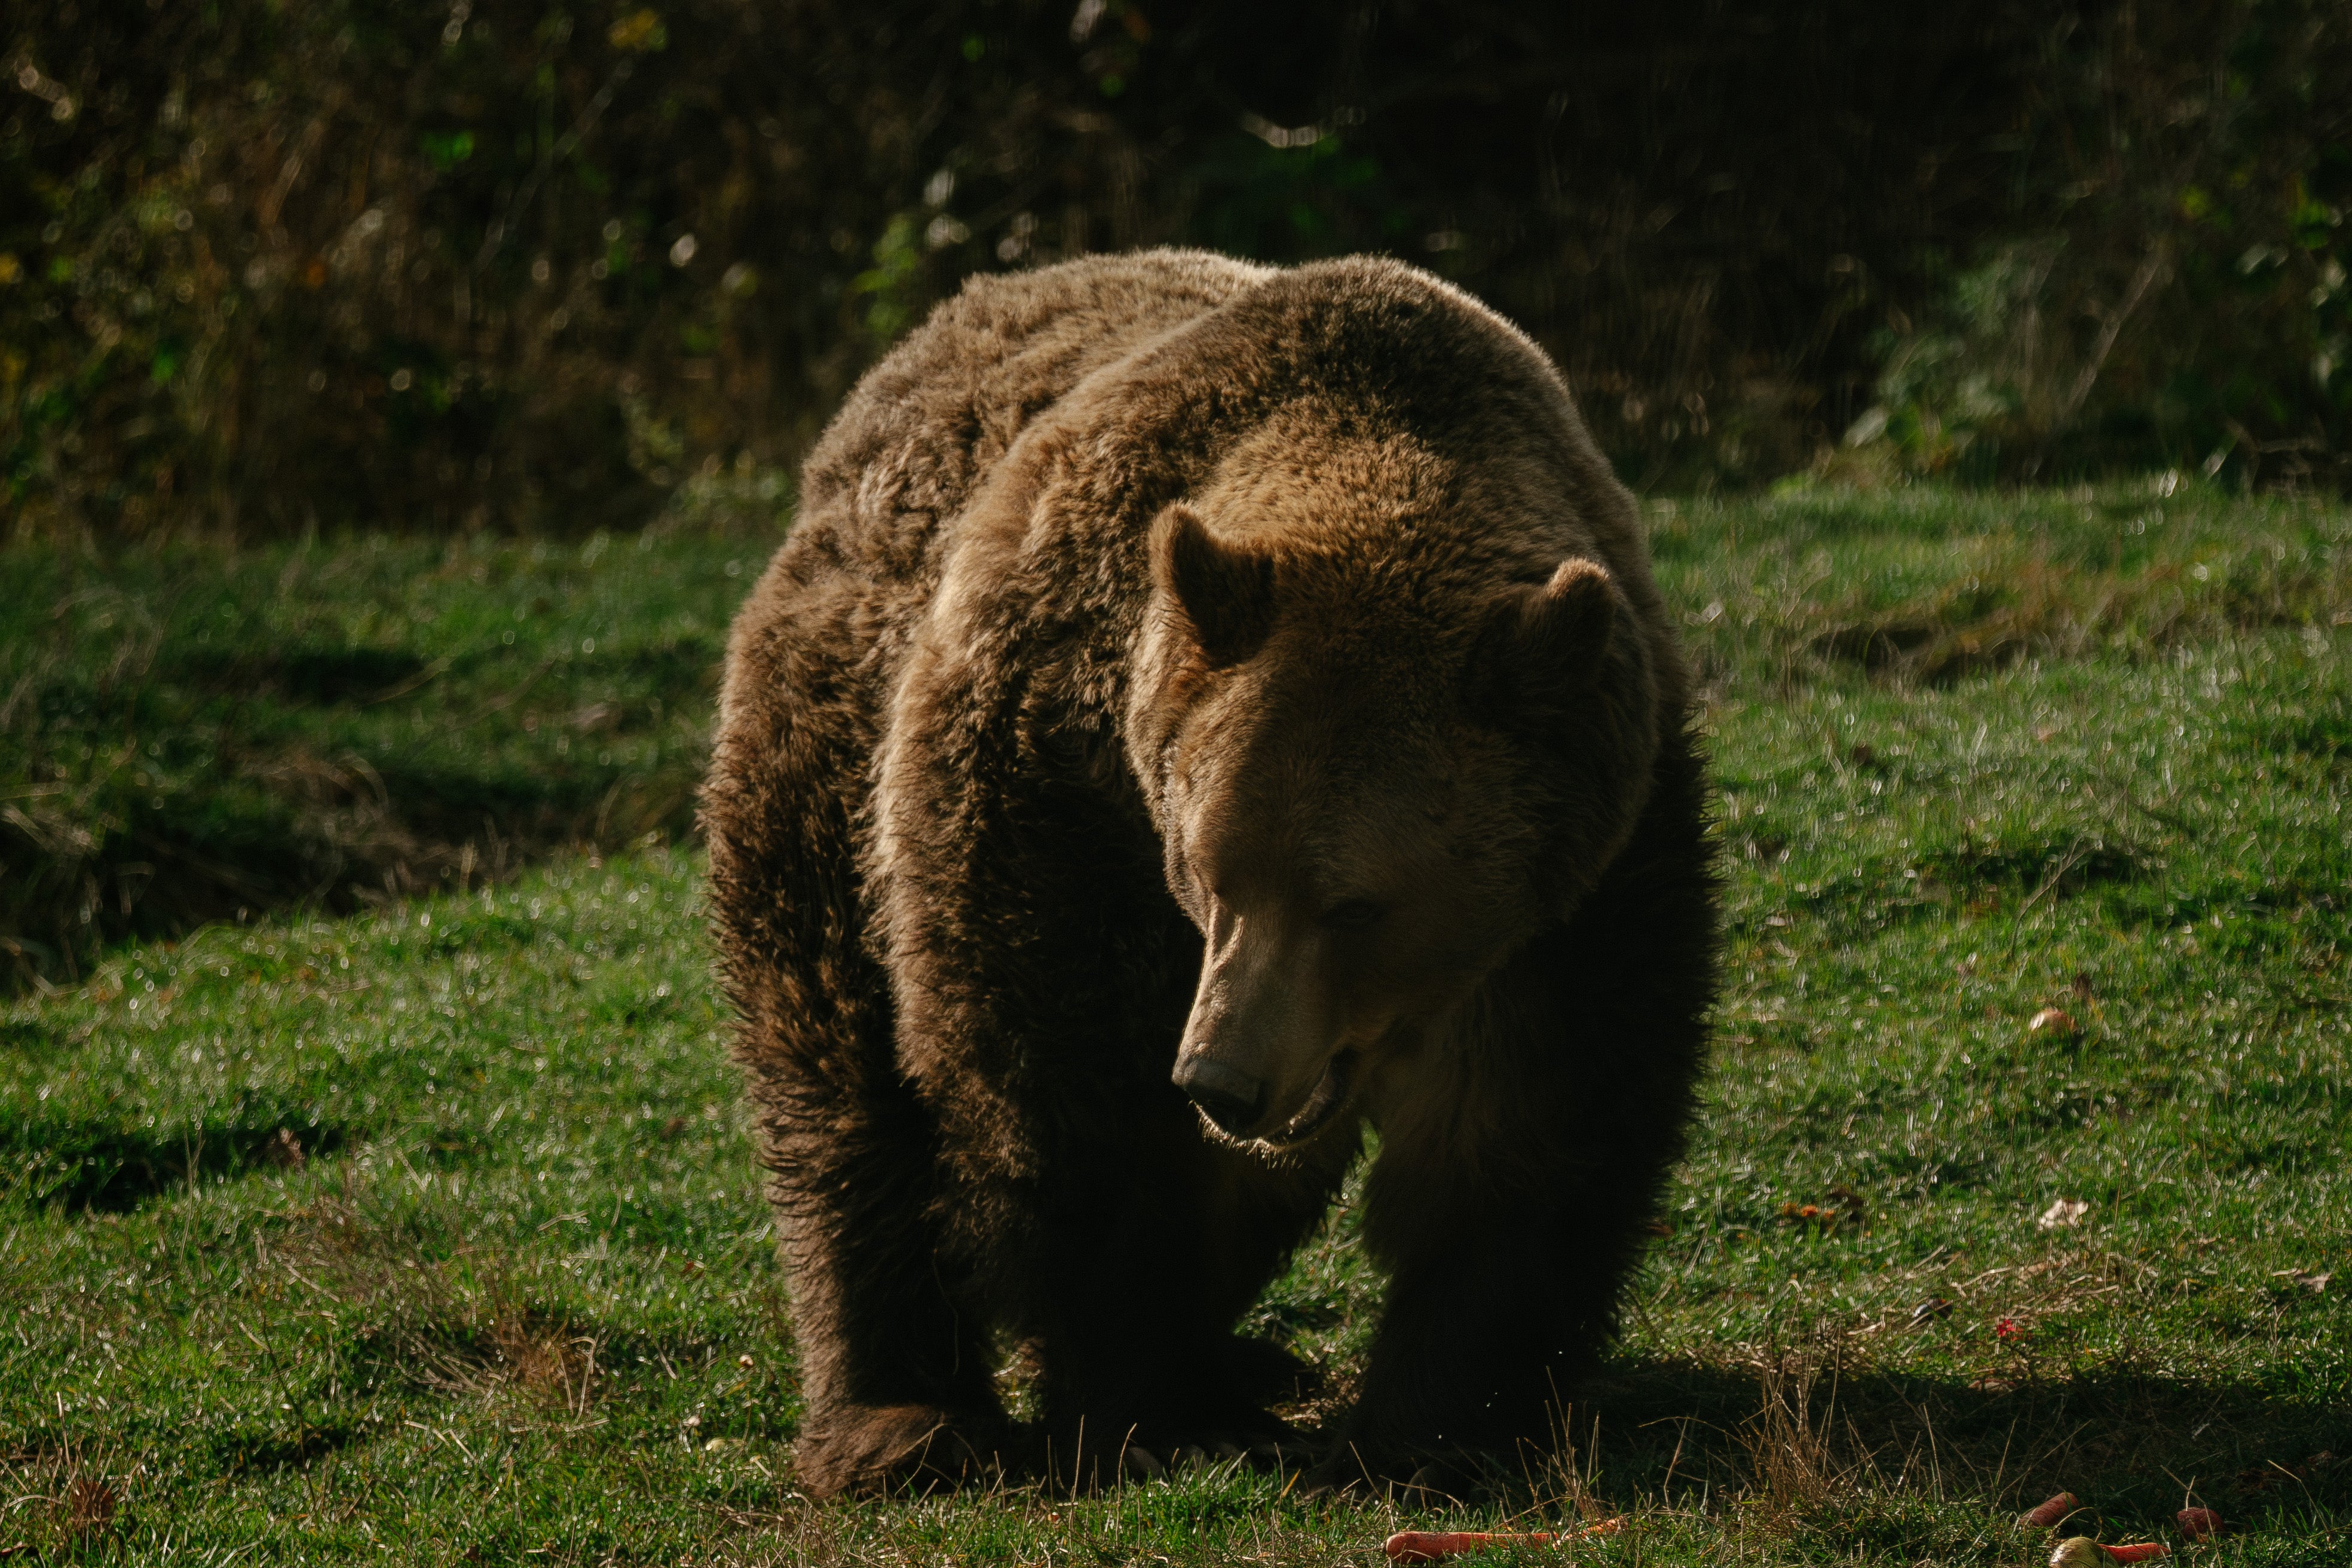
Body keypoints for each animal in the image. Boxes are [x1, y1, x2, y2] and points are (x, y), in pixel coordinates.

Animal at [701, 248, 1717, 1499]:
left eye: (1356, 903)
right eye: (1212, 871)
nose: (1221, 1076)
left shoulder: (1573, 884)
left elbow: (1527, 1135)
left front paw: (1441, 1422)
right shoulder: (1066, 796)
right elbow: (1078, 1120)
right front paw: (1148, 1400)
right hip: (833, 765)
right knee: (846, 1077)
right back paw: (906, 1418)